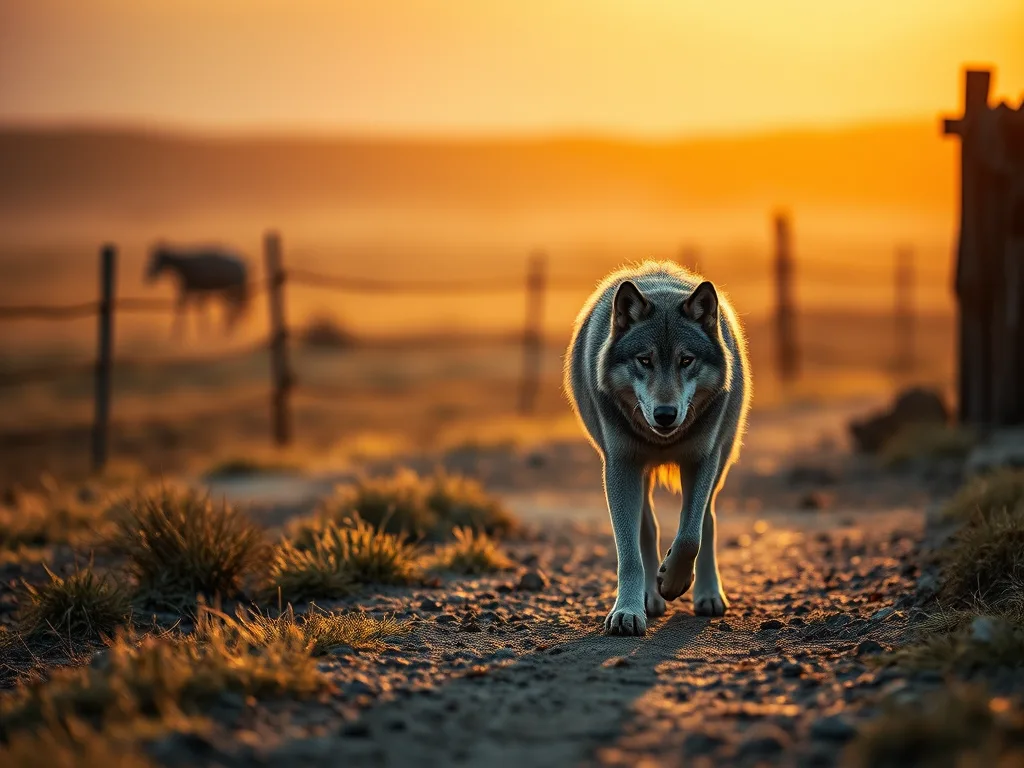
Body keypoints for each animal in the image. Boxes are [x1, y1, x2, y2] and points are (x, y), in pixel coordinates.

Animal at [564, 261, 751, 636]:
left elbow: (691, 534)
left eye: (686, 360)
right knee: (646, 529)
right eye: (645, 360)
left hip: (722, 459)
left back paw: (708, 594)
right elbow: (629, 555)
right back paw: (650, 597)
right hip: (635, 473)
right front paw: (628, 611)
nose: (666, 415)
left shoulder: (701, 460)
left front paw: (675, 581)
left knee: (707, 519)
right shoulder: (620, 466)